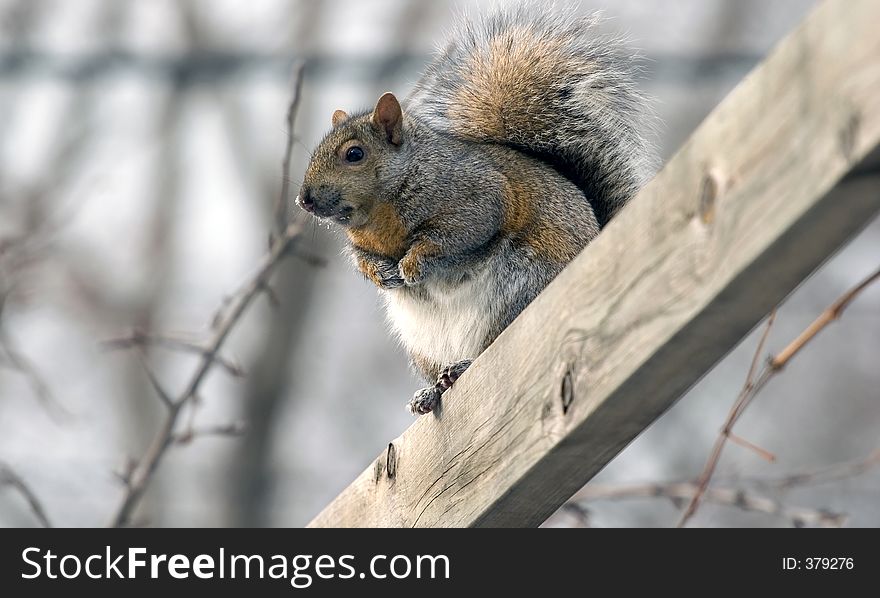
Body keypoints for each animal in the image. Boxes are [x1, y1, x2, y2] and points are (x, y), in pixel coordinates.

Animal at [300, 4, 648, 418]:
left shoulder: (476, 197)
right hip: (423, 346)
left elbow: (457, 234)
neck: (380, 212)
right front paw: (382, 273)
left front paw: (413, 265)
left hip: (520, 292)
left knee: (489, 348)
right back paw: (430, 391)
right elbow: (362, 259)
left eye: (354, 154)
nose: (303, 199)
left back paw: (462, 366)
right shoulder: (361, 242)